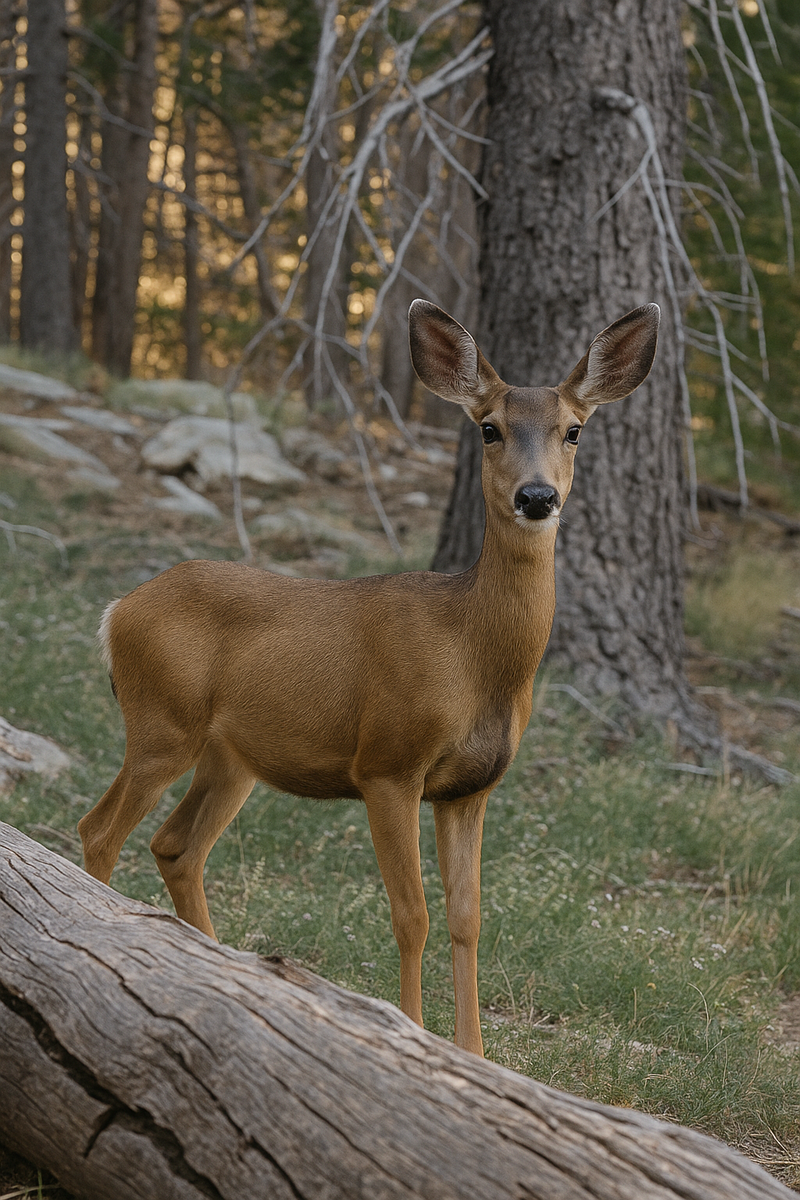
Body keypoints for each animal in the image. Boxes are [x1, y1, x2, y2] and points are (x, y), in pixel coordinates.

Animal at [79, 299, 659, 1057]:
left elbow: (468, 918)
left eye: (574, 430)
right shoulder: (388, 762)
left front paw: (474, 1054)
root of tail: (118, 610)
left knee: (175, 846)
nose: (536, 496)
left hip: (232, 759)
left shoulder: (471, 788)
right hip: (162, 723)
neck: (472, 653)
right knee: (99, 832)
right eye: (489, 428)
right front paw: (412, 1033)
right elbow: (411, 913)